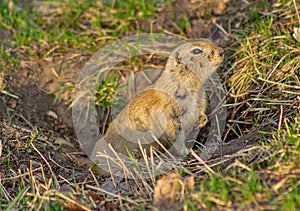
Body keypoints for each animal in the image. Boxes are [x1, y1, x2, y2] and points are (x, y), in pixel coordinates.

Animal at [92, 38, 224, 175]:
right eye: (196, 51)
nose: (222, 52)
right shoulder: (171, 115)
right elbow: (175, 136)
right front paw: (187, 152)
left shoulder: (201, 98)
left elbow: (201, 109)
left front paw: (203, 120)